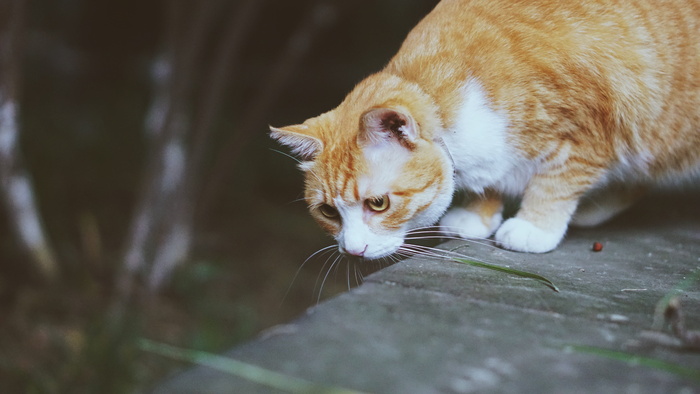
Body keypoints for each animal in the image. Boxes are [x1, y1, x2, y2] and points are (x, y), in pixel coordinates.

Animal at [272, 0, 700, 255]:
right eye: (328, 212)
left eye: (378, 204)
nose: (352, 250)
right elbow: (495, 179)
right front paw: (479, 215)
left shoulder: (590, 130)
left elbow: (556, 181)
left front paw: (534, 227)